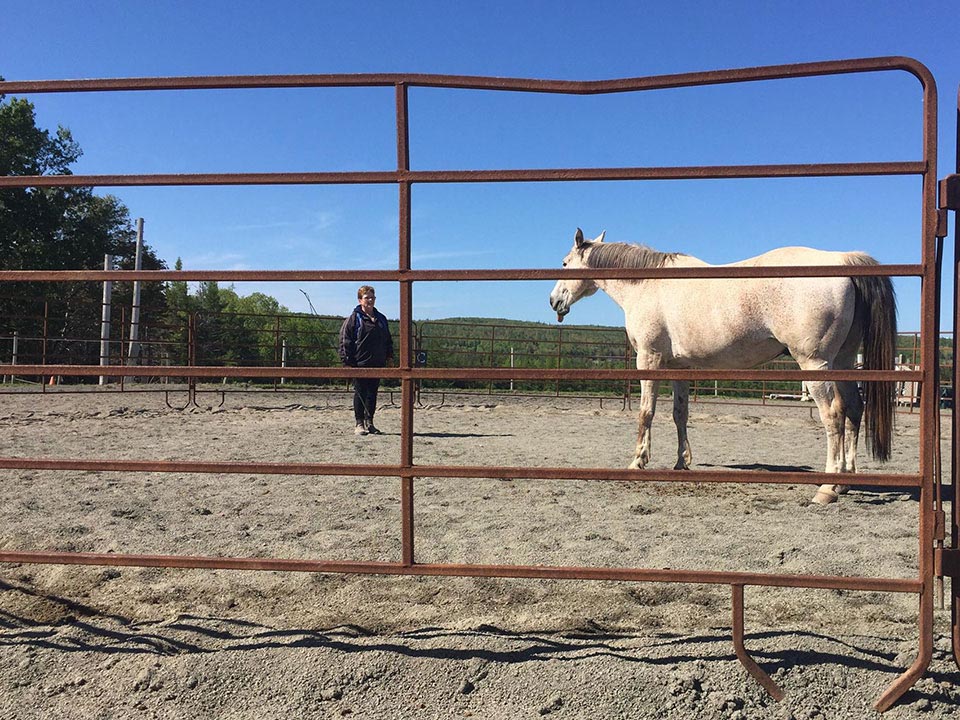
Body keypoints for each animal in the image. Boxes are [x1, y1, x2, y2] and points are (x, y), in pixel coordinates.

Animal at [552, 228, 896, 504]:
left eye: (565, 264)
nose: (554, 301)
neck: (648, 284)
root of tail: (843, 260)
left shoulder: (649, 360)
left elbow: (645, 413)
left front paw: (638, 462)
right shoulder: (679, 368)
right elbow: (680, 414)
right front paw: (681, 462)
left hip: (815, 363)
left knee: (834, 415)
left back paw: (827, 488)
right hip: (842, 361)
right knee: (854, 410)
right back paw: (846, 482)